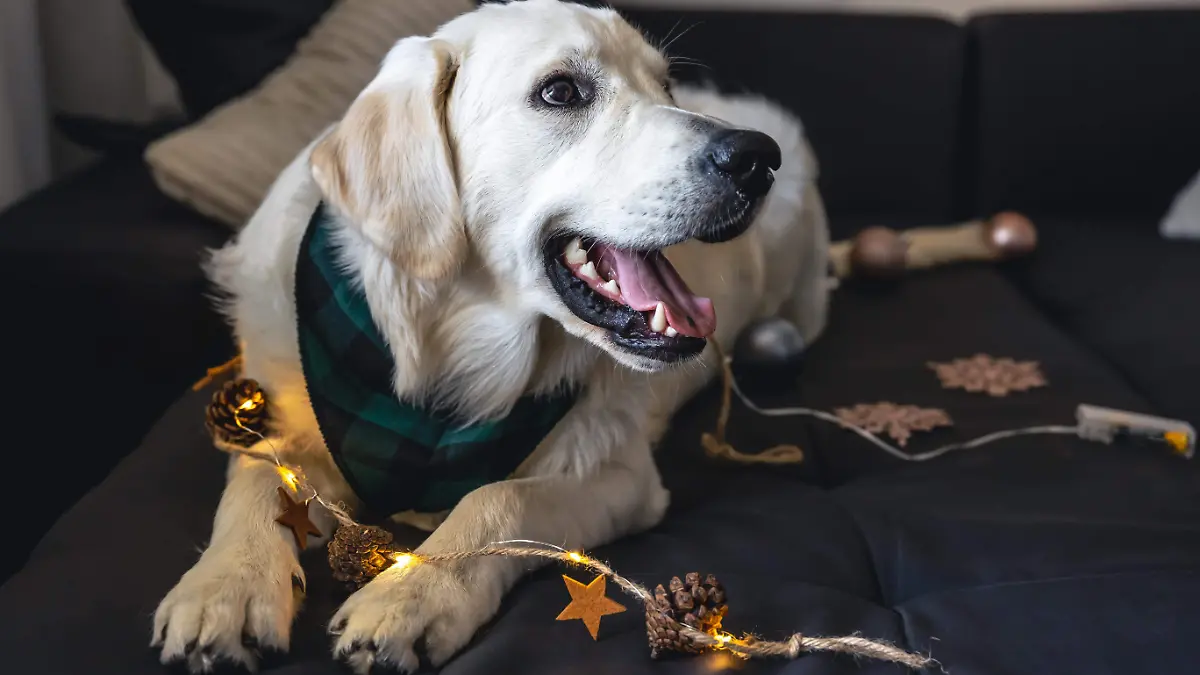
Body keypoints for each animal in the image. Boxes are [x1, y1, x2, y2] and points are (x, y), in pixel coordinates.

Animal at [150, 2, 830, 667]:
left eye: (665, 85)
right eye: (561, 91)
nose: (756, 158)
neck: (443, 348)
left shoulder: (621, 473)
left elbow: (498, 497)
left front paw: (411, 596)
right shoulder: (284, 413)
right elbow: (259, 481)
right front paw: (224, 587)